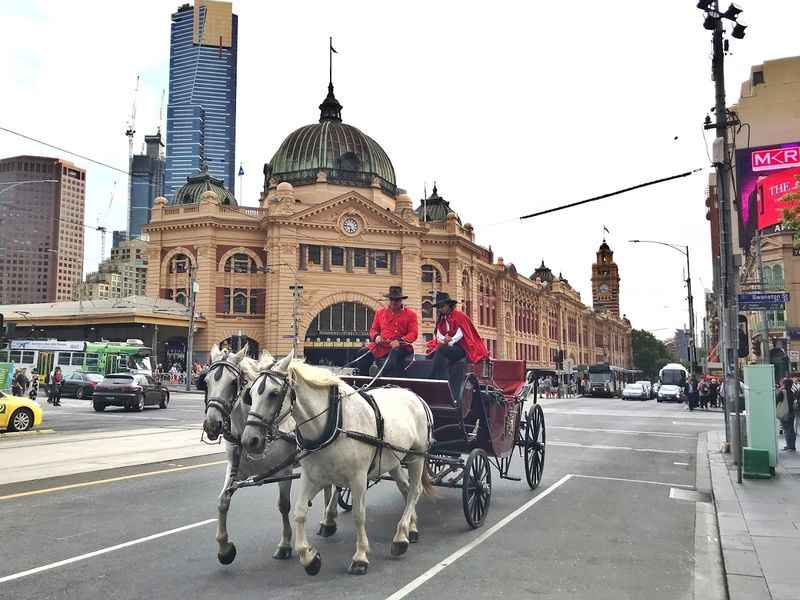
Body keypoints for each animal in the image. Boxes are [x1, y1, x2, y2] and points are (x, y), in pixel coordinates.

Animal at [203, 344, 338, 564]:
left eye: (232, 383)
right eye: (206, 381)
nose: (212, 425)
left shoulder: (284, 471)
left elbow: (284, 506)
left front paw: (285, 544)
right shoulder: (235, 469)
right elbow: (222, 502)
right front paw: (224, 548)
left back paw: (329, 519)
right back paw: (328, 518)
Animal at [241, 352, 434, 576]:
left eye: (273, 393)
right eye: (250, 394)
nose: (250, 440)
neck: (333, 422)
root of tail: (415, 396)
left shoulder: (358, 478)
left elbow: (359, 514)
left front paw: (360, 556)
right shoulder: (312, 476)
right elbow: (299, 512)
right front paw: (309, 557)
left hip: (416, 457)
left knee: (414, 490)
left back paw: (401, 536)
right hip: (393, 461)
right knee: (405, 488)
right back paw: (411, 527)